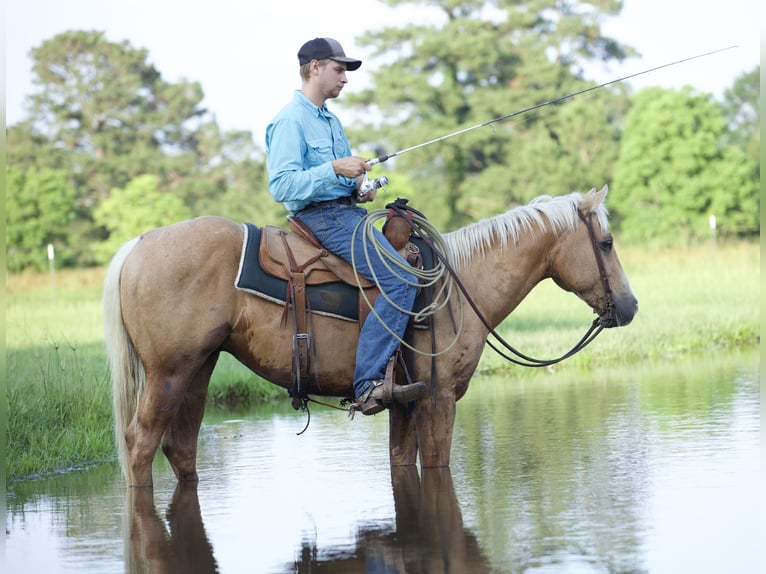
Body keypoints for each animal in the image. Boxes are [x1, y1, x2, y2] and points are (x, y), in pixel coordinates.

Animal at [105, 187, 640, 488]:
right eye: (607, 243)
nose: (630, 306)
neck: (459, 284)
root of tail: (139, 244)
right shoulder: (439, 400)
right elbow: (438, 467)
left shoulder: (406, 404)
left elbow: (402, 464)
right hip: (168, 375)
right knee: (140, 444)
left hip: (198, 370)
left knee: (181, 447)